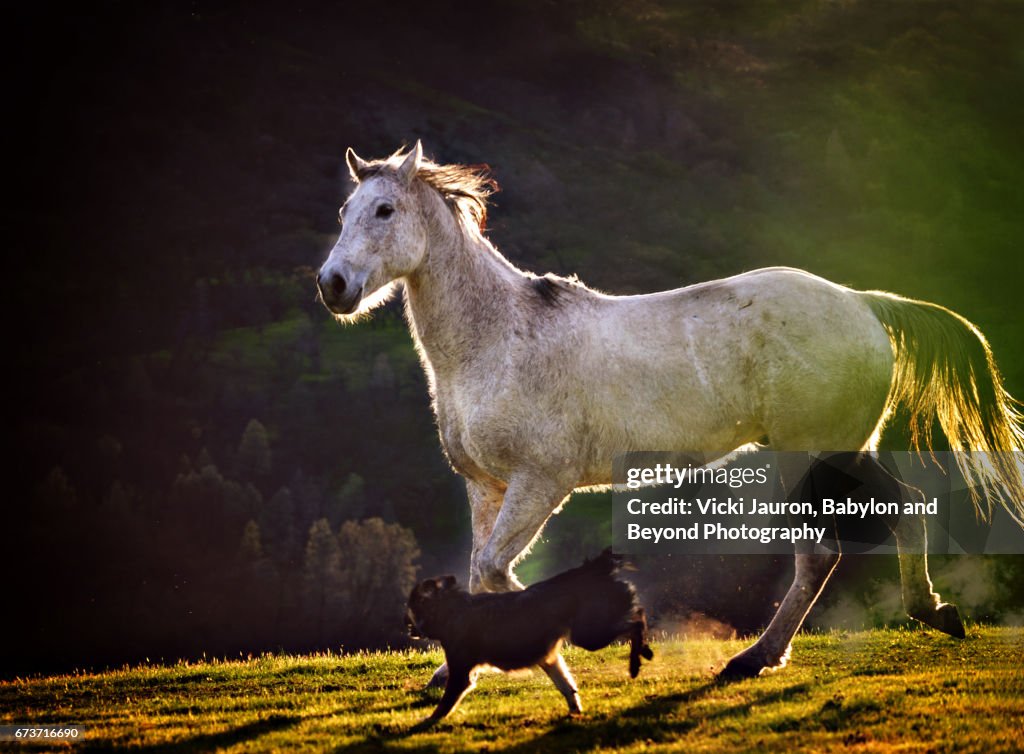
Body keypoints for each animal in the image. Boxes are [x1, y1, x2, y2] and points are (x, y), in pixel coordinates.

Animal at [317, 141, 1024, 676]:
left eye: (384, 209)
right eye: (346, 210)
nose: (333, 286)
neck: (498, 340)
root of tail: (861, 302)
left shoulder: (541, 482)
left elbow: (495, 572)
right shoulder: (486, 486)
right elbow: (476, 572)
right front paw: (454, 669)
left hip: (805, 458)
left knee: (821, 554)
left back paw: (755, 658)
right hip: (845, 449)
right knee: (908, 507)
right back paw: (934, 613)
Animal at [403, 549, 651, 721]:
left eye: (411, 609)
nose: (406, 626)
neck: (451, 609)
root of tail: (597, 568)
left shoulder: (461, 672)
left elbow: (445, 703)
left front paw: (428, 721)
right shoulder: (548, 659)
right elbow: (567, 687)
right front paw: (575, 711)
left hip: (589, 635)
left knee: (636, 620)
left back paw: (637, 661)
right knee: (637, 614)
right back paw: (643, 653)